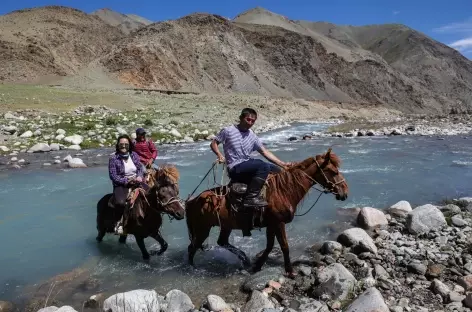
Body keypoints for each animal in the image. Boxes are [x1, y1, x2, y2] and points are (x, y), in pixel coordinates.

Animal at [186, 148, 348, 276]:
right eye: (333, 171)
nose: (345, 192)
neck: (283, 191)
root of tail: (193, 200)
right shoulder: (278, 223)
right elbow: (284, 246)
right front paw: (290, 271)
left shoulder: (271, 225)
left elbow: (270, 246)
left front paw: (257, 266)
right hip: (202, 229)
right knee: (192, 247)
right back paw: (193, 269)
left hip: (226, 226)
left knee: (222, 242)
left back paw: (245, 259)